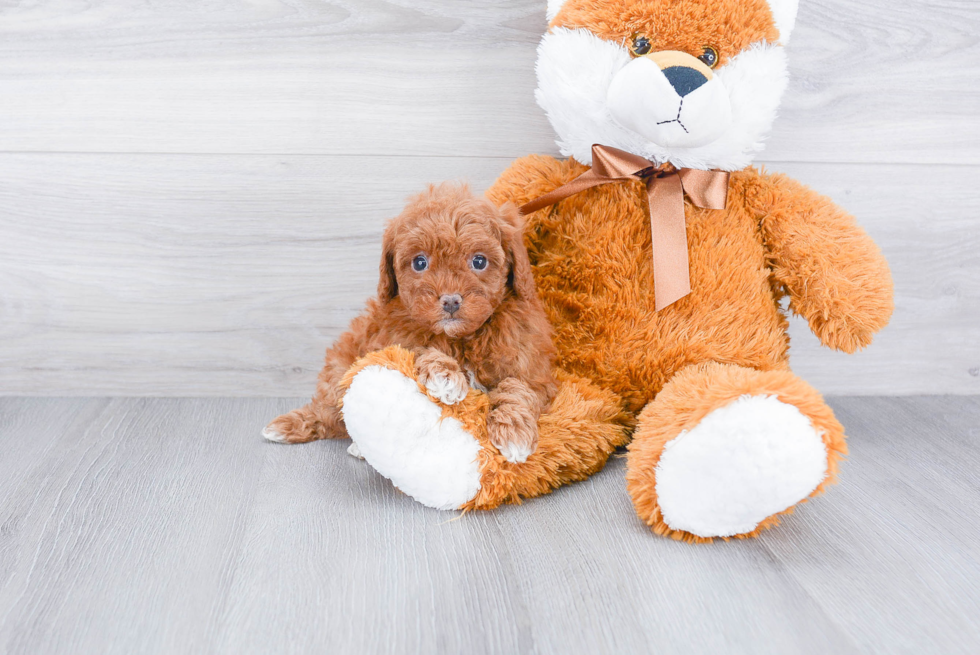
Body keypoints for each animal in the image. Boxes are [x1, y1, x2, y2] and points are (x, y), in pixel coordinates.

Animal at [266, 182, 560, 464]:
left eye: (479, 261)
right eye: (420, 263)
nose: (450, 301)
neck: (461, 338)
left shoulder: (530, 369)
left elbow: (517, 389)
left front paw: (514, 433)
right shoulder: (392, 340)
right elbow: (418, 349)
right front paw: (446, 375)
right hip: (340, 370)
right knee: (329, 411)